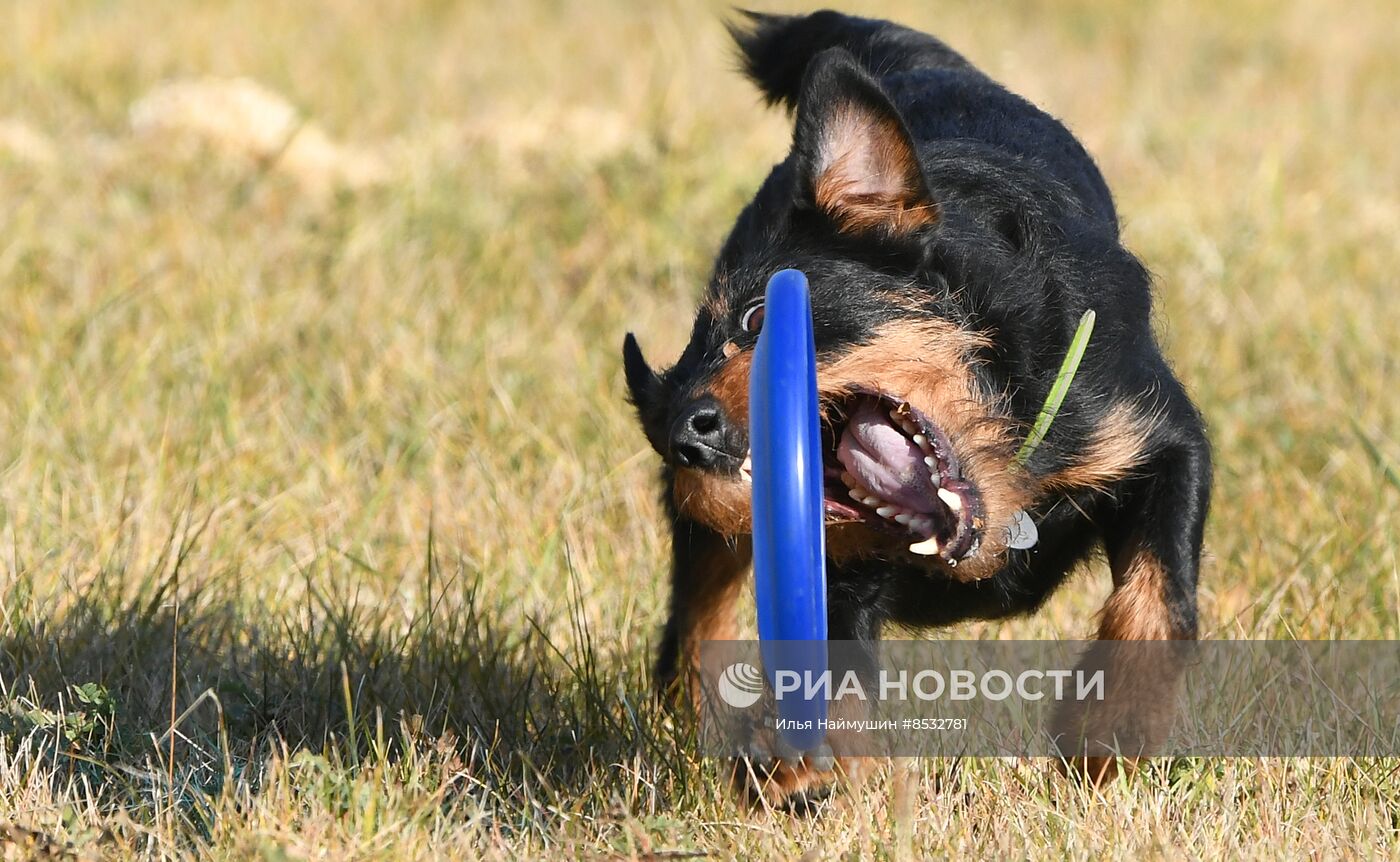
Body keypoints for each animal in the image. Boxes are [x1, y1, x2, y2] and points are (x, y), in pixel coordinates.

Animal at [618, 8, 1209, 806]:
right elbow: (831, 661)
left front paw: (1109, 734)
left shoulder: (1157, 434)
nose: (685, 435)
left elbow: (1159, 596)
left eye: (754, 319)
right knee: (697, 614)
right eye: (666, 415)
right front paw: (796, 761)